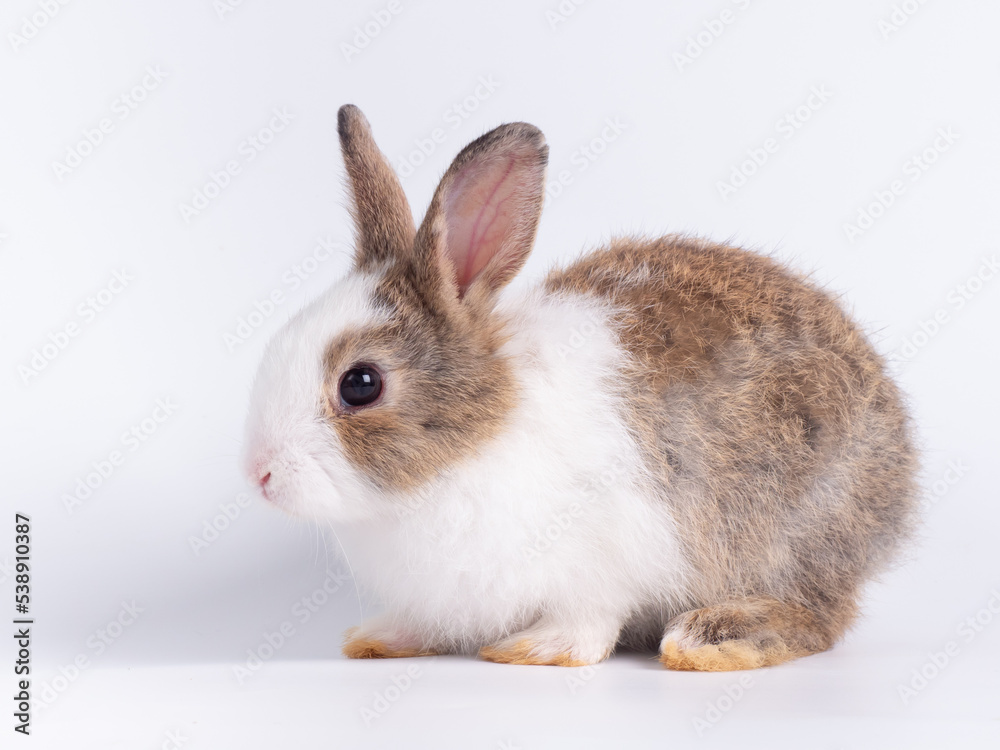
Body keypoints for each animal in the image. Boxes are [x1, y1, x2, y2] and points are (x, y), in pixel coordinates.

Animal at [242, 103, 916, 672]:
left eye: (360, 384)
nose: (259, 473)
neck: (469, 447)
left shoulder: (606, 552)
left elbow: (589, 620)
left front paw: (536, 650)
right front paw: (379, 639)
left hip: (792, 539)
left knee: (821, 617)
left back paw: (709, 639)